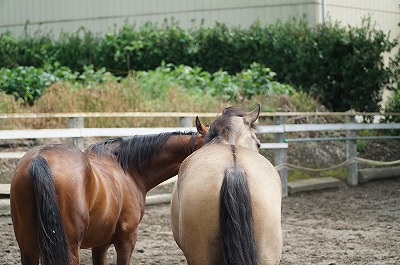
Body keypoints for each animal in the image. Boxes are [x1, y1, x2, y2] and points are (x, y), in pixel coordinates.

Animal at [10, 117, 208, 264]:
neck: (128, 170)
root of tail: (40, 158)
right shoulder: (126, 240)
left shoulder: (100, 245)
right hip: (70, 248)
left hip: (28, 247)